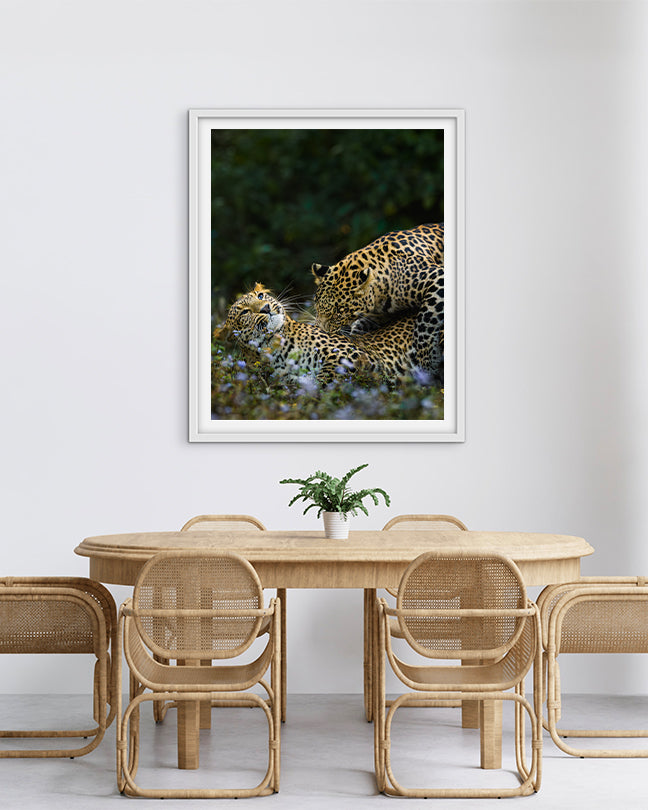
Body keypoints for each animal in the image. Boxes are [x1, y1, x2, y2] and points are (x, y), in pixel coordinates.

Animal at [214, 283, 423, 386]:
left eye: (260, 296)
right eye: (245, 312)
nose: (265, 308)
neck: (276, 347)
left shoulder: (351, 354)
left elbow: (324, 377)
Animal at [311, 223, 444, 378]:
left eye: (339, 313)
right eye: (317, 308)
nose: (322, 332)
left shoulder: (438, 278)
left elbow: (425, 322)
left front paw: (426, 360)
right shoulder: (376, 316)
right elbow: (360, 328)